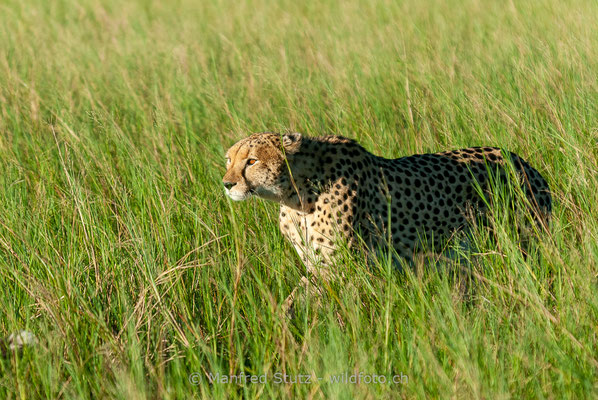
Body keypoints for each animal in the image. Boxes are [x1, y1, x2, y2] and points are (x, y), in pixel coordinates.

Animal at [223, 130, 556, 300]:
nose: (227, 184)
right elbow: (294, 300)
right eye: (229, 160)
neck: (295, 195)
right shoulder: (320, 267)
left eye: (251, 161)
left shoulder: (344, 268)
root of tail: (523, 162)